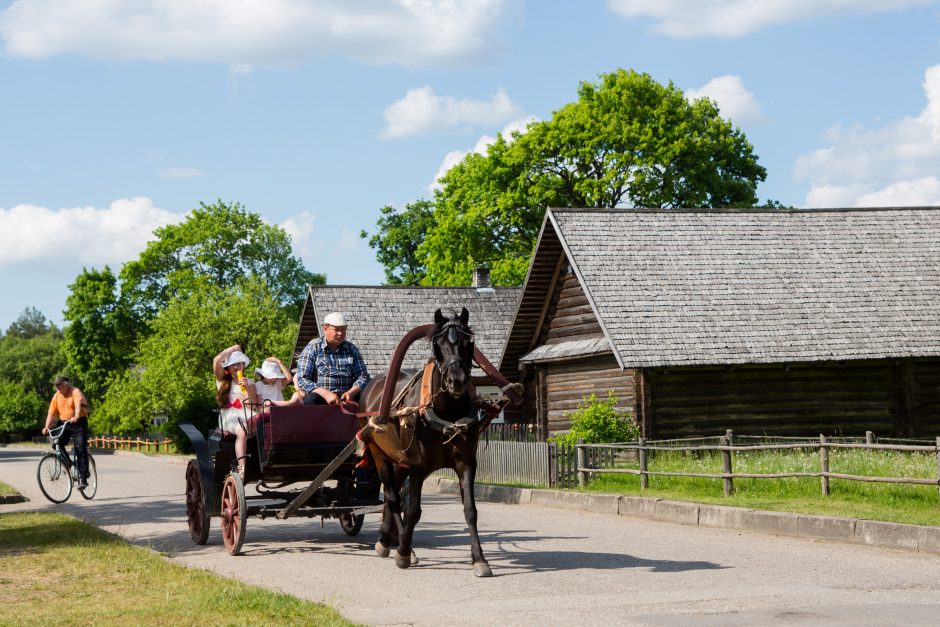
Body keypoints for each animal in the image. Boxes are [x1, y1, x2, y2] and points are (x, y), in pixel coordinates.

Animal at [358, 310, 496, 580]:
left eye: (469, 342)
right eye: (438, 344)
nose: (456, 380)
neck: (447, 412)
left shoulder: (466, 463)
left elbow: (470, 510)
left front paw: (479, 559)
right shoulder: (418, 467)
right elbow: (413, 511)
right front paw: (403, 552)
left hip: (399, 460)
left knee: (392, 496)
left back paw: (385, 539)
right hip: (380, 455)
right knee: (393, 497)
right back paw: (401, 545)